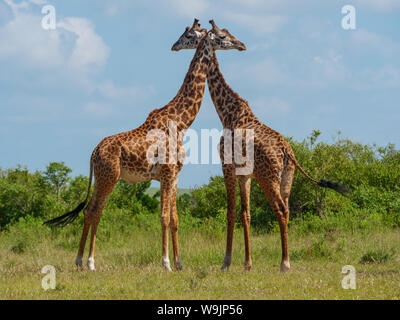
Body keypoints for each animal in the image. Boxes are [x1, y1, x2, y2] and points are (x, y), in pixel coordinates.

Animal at [42, 18, 245, 272]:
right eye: (222, 36)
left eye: (188, 36)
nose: (241, 44)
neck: (180, 122)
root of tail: (94, 152)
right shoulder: (167, 172)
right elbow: (164, 217)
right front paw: (166, 263)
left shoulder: (175, 174)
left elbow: (175, 218)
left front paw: (179, 263)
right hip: (109, 176)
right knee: (94, 211)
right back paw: (88, 262)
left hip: (102, 177)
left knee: (90, 211)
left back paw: (82, 261)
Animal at [172, 20, 346, 272]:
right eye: (224, 35)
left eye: (188, 35)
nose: (241, 45)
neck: (227, 112)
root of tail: (287, 152)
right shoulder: (246, 174)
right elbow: (246, 214)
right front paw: (247, 263)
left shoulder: (227, 165)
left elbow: (231, 212)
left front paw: (226, 262)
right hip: (287, 177)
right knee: (287, 210)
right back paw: (285, 259)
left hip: (268, 177)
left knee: (280, 210)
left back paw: (285, 263)